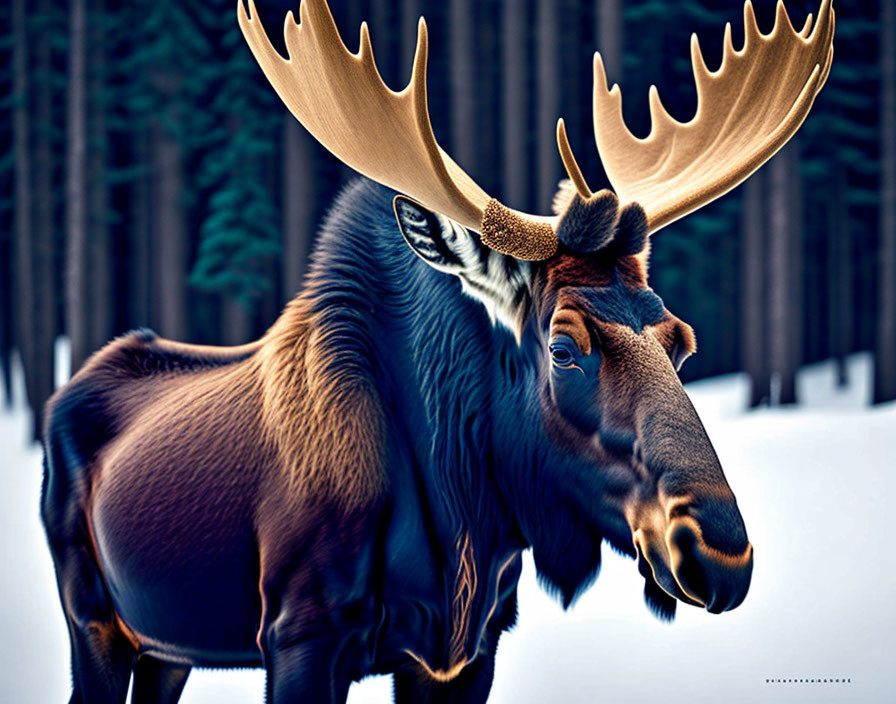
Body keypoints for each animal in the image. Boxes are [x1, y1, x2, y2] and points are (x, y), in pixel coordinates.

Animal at [42, 0, 832, 700]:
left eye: (680, 339)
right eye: (563, 346)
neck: (463, 527)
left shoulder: (468, 649)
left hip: (167, 645)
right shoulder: (300, 633)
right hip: (93, 619)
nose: (722, 552)